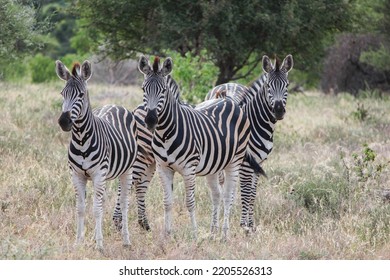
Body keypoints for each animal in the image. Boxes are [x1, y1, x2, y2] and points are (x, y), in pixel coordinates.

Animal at [55, 60, 139, 249]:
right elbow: (81, 208)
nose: (64, 122)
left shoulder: (98, 174)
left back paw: (126, 240)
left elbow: (96, 209)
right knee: (102, 200)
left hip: (127, 170)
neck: (81, 139)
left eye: (81, 95)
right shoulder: (77, 175)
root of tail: (114, 104)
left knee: (124, 203)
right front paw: (78, 242)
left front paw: (99, 245)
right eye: (62, 93)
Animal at [137, 55, 258, 238]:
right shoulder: (163, 168)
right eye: (144, 89)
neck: (165, 133)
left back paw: (225, 234)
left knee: (228, 196)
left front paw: (194, 234)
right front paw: (167, 233)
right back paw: (213, 232)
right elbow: (167, 202)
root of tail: (227, 99)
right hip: (215, 164)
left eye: (163, 90)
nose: (151, 120)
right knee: (217, 195)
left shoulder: (189, 169)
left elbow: (190, 202)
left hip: (235, 160)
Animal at [207, 54, 292, 232]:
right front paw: (243, 226)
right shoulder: (246, 163)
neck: (256, 123)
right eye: (268, 85)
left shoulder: (258, 163)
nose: (279, 110)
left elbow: (252, 193)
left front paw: (251, 225)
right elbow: (246, 192)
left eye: (287, 85)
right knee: (222, 184)